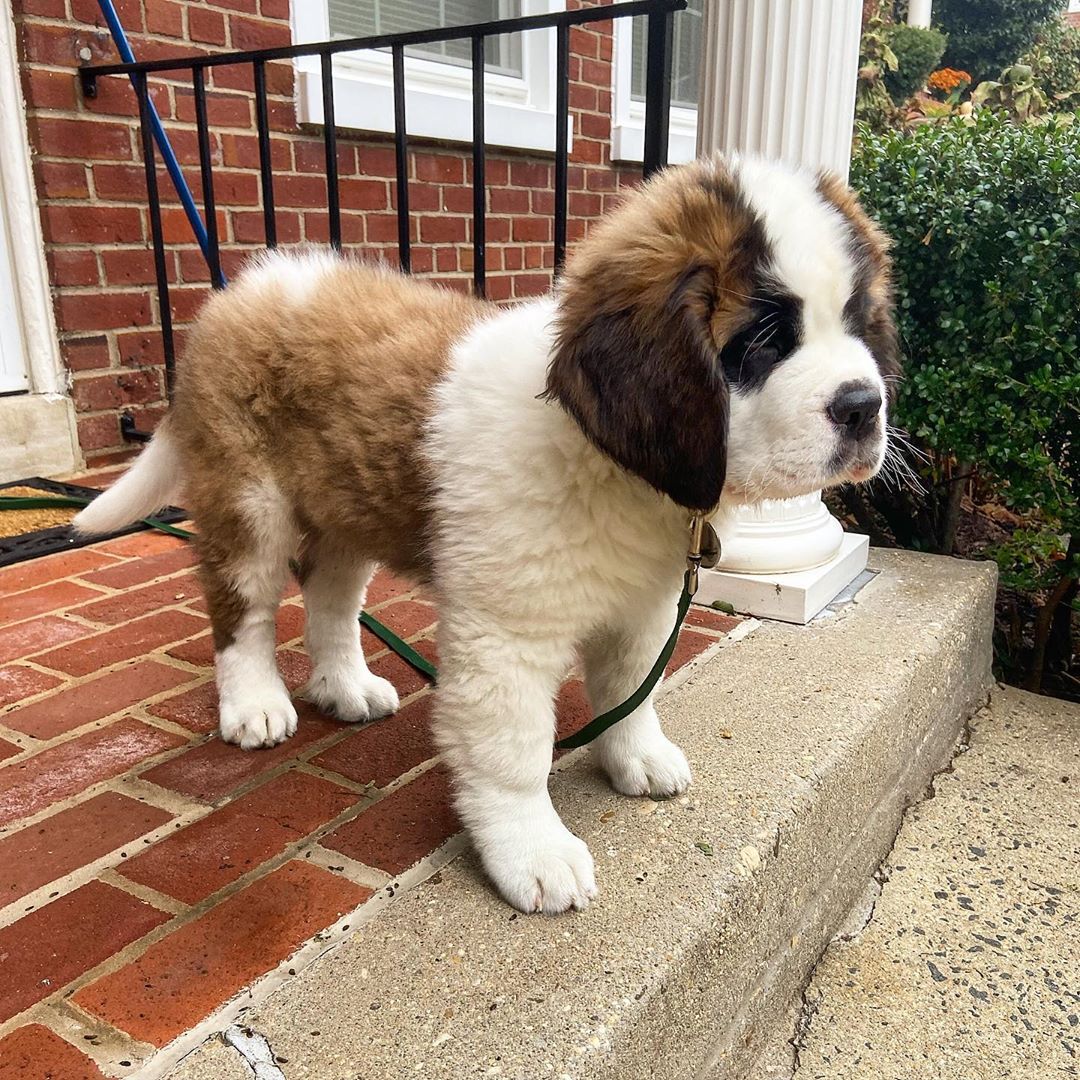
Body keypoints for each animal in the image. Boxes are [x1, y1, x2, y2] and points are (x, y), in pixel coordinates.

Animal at [78, 152, 894, 911]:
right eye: (763, 339)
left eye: (857, 324)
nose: (864, 406)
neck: (607, 462)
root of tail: (244, 291)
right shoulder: (507, 635)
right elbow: (513, 751)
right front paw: (532, 852)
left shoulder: (644, 606)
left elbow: (633, 688)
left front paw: (637, 756)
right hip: (250, 500)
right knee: (242, 610)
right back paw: (255, 704)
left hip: (347, 508)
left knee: (331, 597)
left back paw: (345, 686)